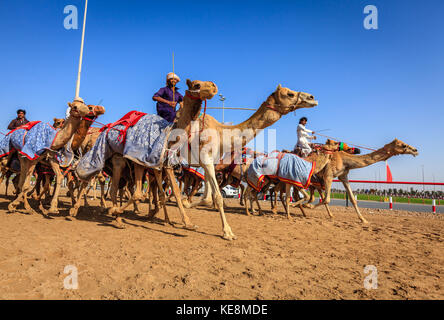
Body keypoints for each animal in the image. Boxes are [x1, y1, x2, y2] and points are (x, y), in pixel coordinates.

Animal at [184, 85, 320, 240]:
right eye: (289, 94)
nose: (312, 98)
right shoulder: (206, 158)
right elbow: (219, 194)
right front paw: (228, 232)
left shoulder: (209, 162)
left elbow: (209, 195)